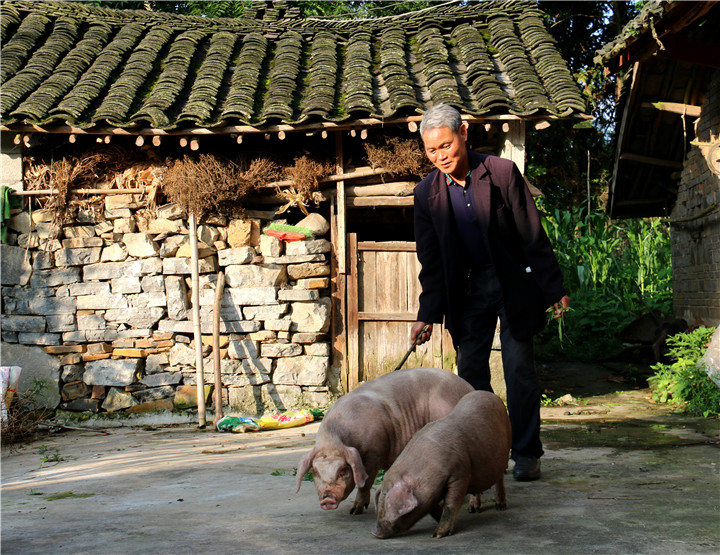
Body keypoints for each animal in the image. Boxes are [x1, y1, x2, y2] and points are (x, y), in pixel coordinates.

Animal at [296, 370, 476, 516]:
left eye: (343, 470)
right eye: (315, 472)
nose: (327, 499)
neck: (334, 438)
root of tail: (469, 388)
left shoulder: (375, 453)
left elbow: (366, 483)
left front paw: (354, 511)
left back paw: (472, 509)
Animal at [372, 390, 512, 540]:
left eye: (386, 499)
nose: (375, 533)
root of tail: (490, 394)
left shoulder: (460, 474)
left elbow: (450, 504)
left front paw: (437, 535)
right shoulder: (430, 493)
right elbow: (433, 509)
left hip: (504, 450)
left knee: (499, 479)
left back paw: (500, 507)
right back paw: (473, 510)